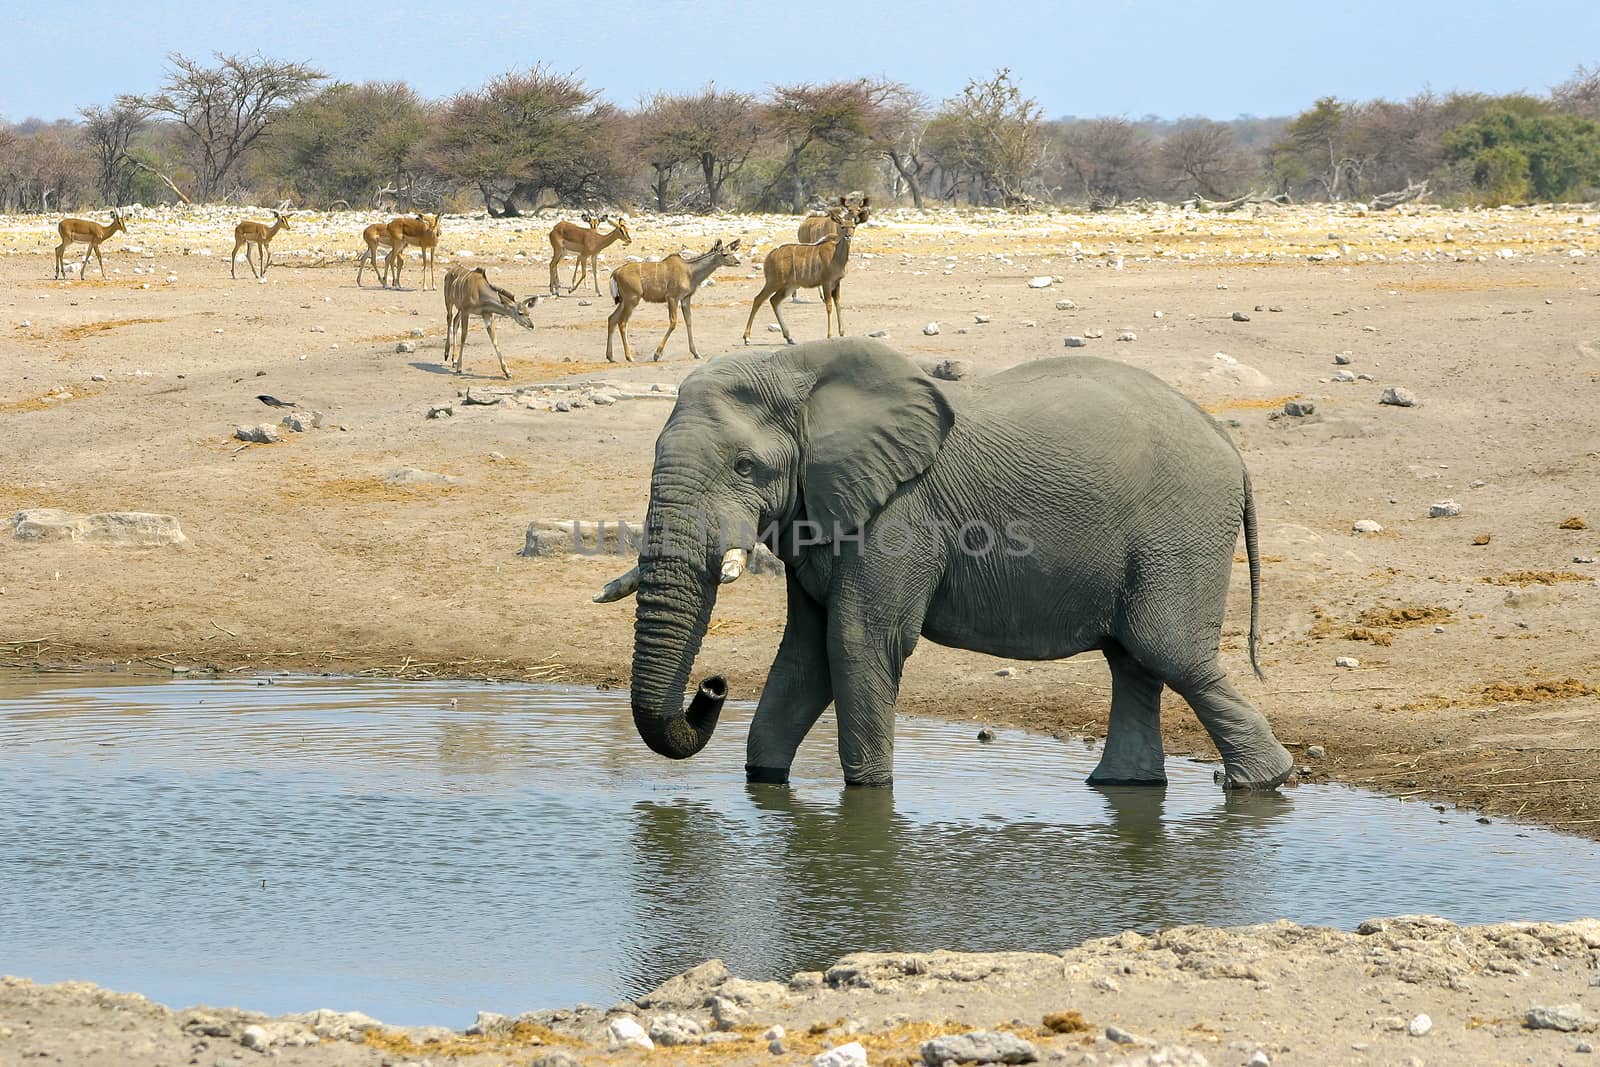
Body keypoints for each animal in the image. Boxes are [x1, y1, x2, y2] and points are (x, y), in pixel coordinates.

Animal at [595, 342, 1292, 793]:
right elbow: (804, 655)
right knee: (1134, 662)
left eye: (745, 467)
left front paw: (869, 797)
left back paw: (1262, 783)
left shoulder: (901, 513)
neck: (796, 371)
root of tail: (1230, 446)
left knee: (1165, 651)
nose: (712, 687)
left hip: (1179, 528)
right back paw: (1125, 787)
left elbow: (858, 641)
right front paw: (765, 782)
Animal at [604, 238, 742, 363]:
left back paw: (610, 357)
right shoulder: (672, 297)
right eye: (724, 254)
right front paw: (657, 355)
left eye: (732, 252)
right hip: (632, 299)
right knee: (622, 322)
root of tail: (615, 272)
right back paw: (629, 357)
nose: (738, 262)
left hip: (624, 301)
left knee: (612, 319)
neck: (690, 272)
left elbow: (688, 321)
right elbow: (673, 322)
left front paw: (696, 353)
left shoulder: (686, 298)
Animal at [739, 206, 857, 343]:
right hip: (773, 282)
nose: (848, 236)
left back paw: (789, 338)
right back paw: (747, 338)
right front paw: (830, 335)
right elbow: (829, 306)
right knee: (758, 299)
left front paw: (842, 333)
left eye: (853, 226)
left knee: (774, 300)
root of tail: (769, 257)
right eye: (842, 226)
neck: (836, 256)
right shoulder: (826, 282)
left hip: (789, 285)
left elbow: (838, 303)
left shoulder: (836, 282)